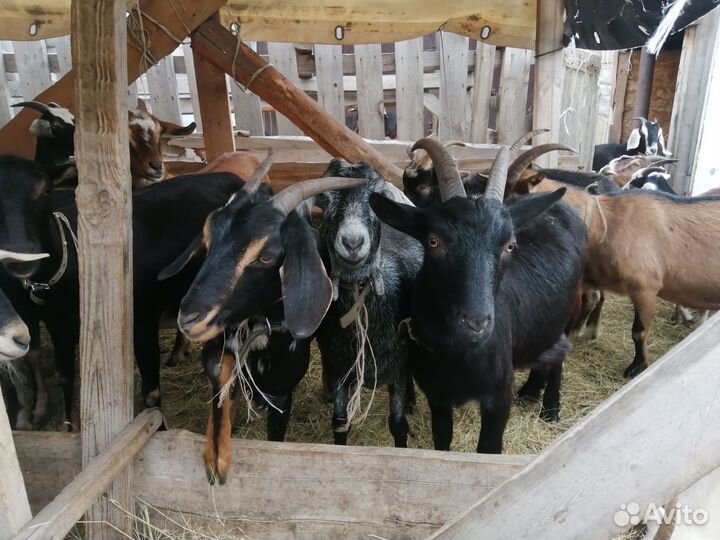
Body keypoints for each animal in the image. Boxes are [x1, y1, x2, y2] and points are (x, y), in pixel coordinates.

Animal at [159, 175, 363, 484]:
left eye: (266, 257)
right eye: (209, 238)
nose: (189, 318)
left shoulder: (281, 392)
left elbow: (274, 438)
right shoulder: (220, 345)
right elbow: (221, 379)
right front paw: (216, 459)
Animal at [314, 159, 422, 447]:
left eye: (377, 197)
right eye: (325, 200)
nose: (352, 242)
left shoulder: (398, 367)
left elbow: (398, 425)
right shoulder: (339, 367)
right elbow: (340, 423)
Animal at [370, 139, 586, 452]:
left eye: (510, 245)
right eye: (433, 241)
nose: (476, 322)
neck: (458, 353)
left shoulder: (498, 395)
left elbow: (488, 449)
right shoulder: (438, 395)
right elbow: (442, 440)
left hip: (571, 311)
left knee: (560, 354)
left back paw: (550, 409)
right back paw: (530, 391)